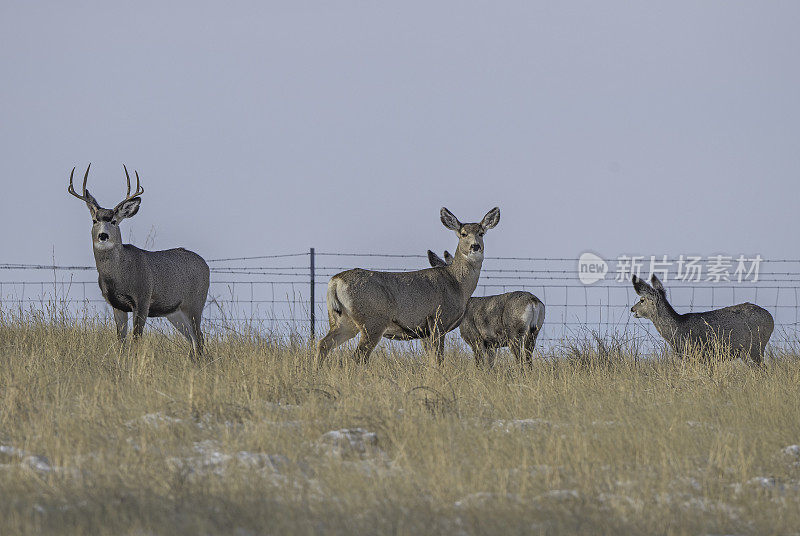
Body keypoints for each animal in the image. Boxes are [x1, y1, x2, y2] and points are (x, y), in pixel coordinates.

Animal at [67, 162, 209, 356]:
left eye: (113, 221)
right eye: (95, 220)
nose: (103, 236)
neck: (119, 275)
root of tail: (206, 265)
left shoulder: (142, 298)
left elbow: (136, 339)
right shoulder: (116, 304)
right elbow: (121, 341)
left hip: (194, 303)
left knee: (200, 339)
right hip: (175, 312)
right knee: (193, 341)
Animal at [314, 205, 496, 364]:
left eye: (481, 233)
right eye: (463, 234)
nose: (475, 246)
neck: (457, 283)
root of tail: (335, 281)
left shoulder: (424, 331)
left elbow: (432, 360)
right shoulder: (438, 320)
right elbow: (438, 359)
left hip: (343, 321)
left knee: (323, 344)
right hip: (372, 320)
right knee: (359, 355)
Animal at [632, 274, 776, 362]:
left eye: (642, 300)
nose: (632, 309)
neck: (677, 329)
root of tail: (771, 318)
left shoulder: (701, 354)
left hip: (754, 347)